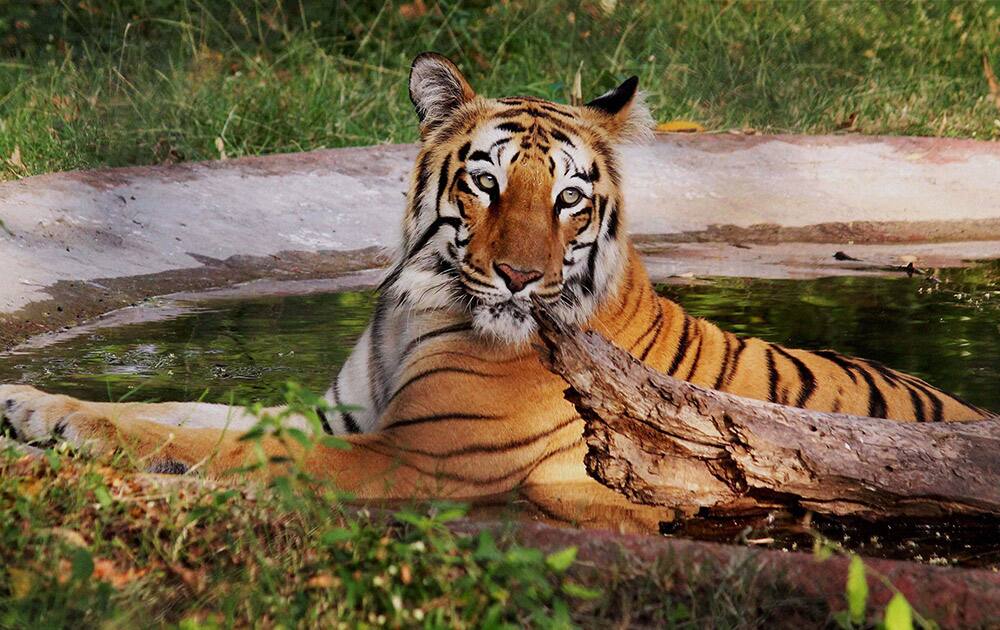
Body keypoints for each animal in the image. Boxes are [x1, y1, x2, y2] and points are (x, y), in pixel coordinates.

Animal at [0, 53, 988, 532]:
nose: (520, 275)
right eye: (486, 182)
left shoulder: (414, 458)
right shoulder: (343, 416)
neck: (419, 307)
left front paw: (102, 451)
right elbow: (182, 413)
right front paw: (36, 405)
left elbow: (220, 446)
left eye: (569, 199)